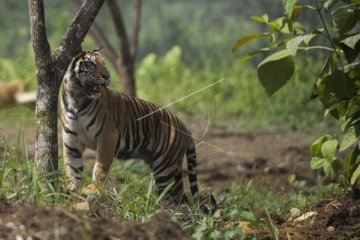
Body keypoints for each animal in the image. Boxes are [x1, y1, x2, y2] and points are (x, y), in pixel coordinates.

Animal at [60, 47, 217, 213]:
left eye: (104, 64)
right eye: (90, 64)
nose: (107, 76)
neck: (76, 97)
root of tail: (185, 127)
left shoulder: (107, 136)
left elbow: (100, 168)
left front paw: (93, 190)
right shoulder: (72, 141)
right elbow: (72, 168)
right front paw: (70, 190)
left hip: (165, 167)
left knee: (172, 196)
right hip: (169, 168)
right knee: (181, 198)